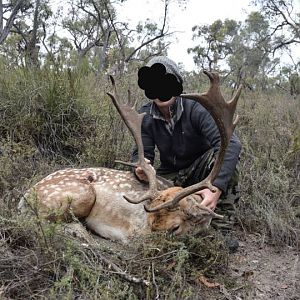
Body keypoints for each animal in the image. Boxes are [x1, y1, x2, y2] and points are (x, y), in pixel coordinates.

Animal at [18, 71, 241, 243]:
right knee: (40, 221)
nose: (144, 243)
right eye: (151, 221)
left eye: (175, 228)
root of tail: (25, 196)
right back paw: (81, 233)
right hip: (79, 194)